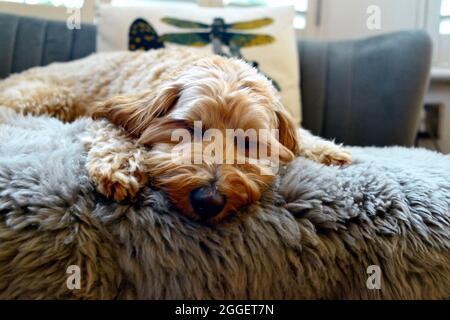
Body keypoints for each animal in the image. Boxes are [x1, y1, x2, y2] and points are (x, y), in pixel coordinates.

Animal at [0, 47, 352, 224]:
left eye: (248, 142)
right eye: (188, 129)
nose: (209, 201)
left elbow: (300, 138)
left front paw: (326, 150)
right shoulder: (110, 113)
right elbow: (116, 133)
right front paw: (120, 167)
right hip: (47, 95)